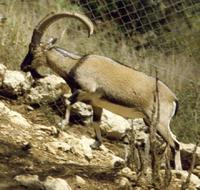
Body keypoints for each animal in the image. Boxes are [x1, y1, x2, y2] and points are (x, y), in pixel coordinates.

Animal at [21, 11, 182, 169]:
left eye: (33, 49)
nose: (23, 66)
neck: (76, 65)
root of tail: (173, 98)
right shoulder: (96, 103)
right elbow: (96, 122)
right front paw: (96, 143)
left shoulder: (87, 90)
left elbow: (67, 101)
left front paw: (62, 125)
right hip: (153, 121)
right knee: (175, 142)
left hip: (158, 121)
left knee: (175, 145)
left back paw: (177, 171)